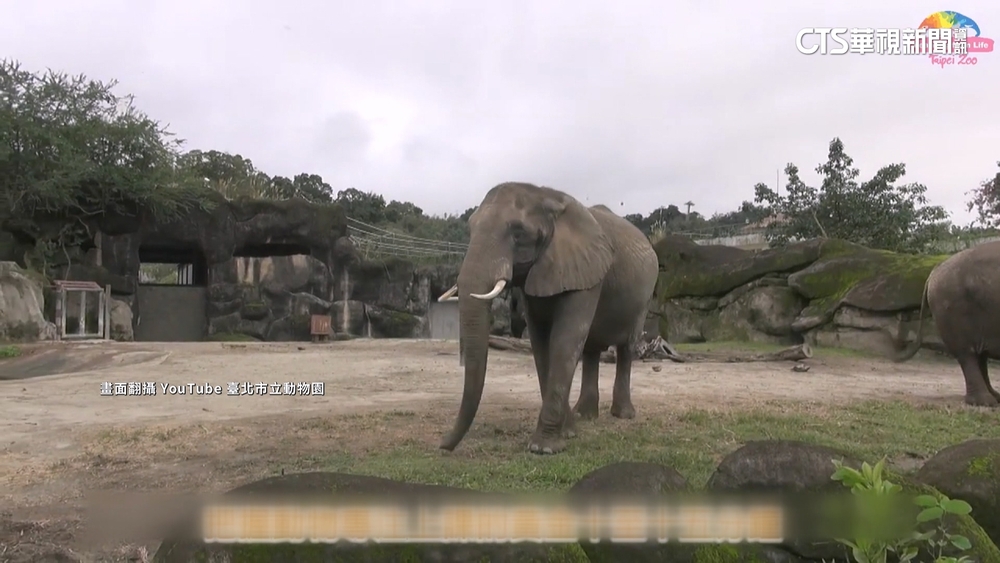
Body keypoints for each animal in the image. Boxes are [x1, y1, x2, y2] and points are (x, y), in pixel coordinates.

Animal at [438, 182, 659, 455]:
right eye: (470, 228)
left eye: (518, 232)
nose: (442, 445)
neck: (547, 196)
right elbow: (541, 341)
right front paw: (568, 433)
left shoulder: (585, 272)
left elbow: (565, 339)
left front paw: (543, 448)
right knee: (591, 350)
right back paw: (584, 415)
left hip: (646, 293)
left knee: (626, 348)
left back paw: (623, 415)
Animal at [894, 240, 1000, 406]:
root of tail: (934, 270)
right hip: (953, 307)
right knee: (966, 353)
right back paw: (986, 402)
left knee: (979, 354)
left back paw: (994, 397)